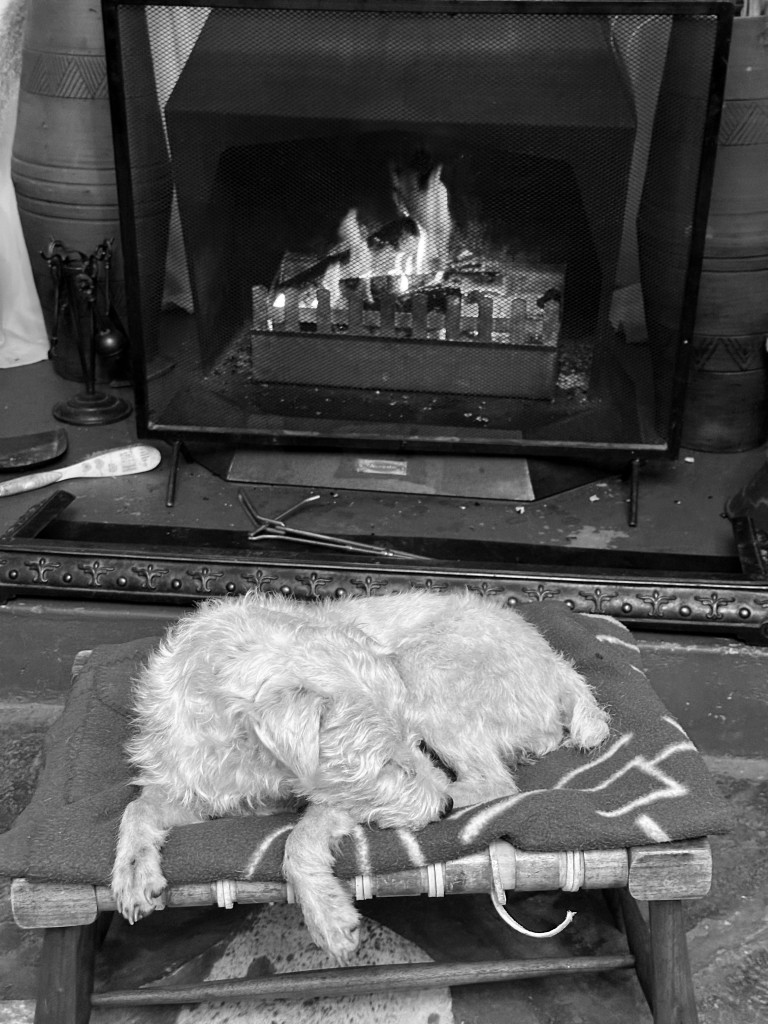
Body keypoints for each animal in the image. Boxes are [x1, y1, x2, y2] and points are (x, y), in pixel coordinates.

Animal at [111, 590, 610, 960]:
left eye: (415, 742)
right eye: (387, 762)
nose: (443, 805)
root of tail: (556, 662)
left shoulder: (339, 795)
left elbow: (298, 841)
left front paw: (326, 916)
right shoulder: (193, 785)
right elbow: (138, 808)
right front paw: (133, 872)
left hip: (426, 669)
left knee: (497, 780)